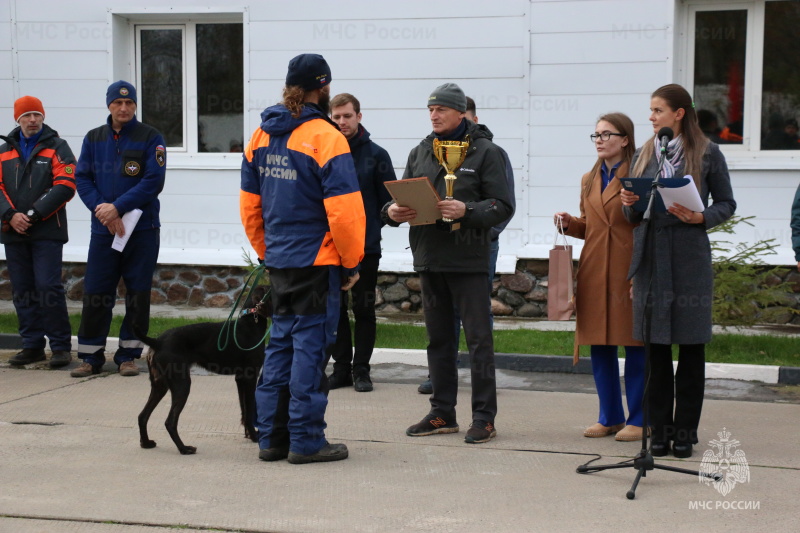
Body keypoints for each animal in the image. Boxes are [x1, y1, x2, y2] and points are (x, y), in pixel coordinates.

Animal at [136, 284, 270, 456]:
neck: (251, 323)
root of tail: (157, 341)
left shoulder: (240, 379)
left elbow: (244, 410)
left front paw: (248, 434)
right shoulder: (250, 377)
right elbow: (249, 409)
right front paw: (254, 436)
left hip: (160, 385)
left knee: (142, 416)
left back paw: (146, 443)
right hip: (182, 384)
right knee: (170, 422)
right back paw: (184, 448)